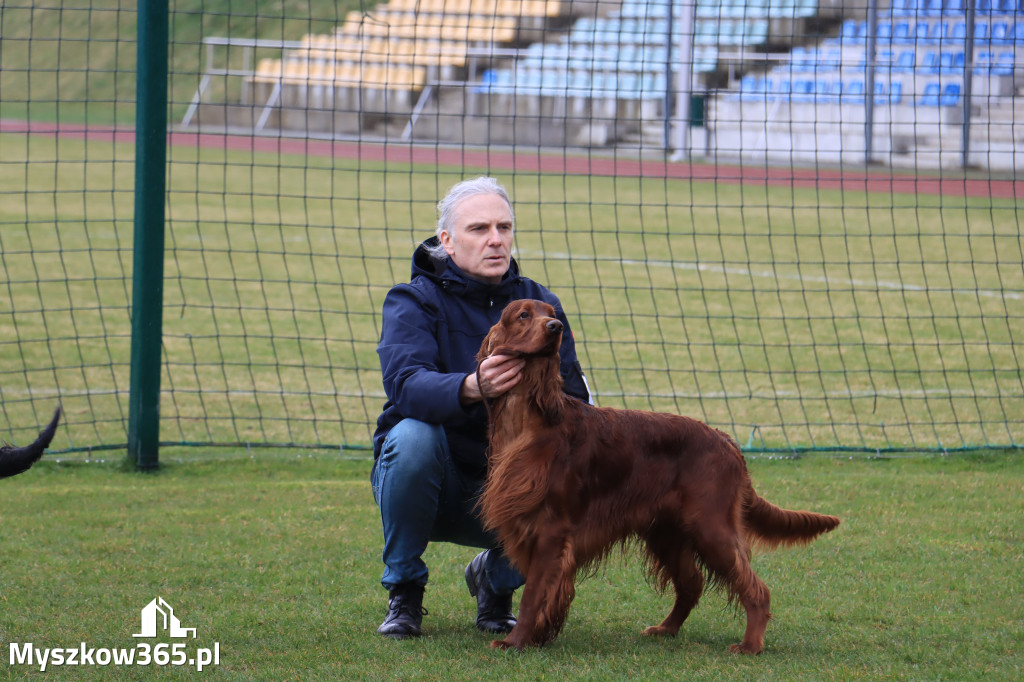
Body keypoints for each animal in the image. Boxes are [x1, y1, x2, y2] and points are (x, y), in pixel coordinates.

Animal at [475, 301, 835, 651]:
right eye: (524, 314)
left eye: (551, 314)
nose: (556, 327)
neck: (529, 420)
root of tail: (725, 440)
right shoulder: (529, 527)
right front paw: (535, 638)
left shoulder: (552, 530)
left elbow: (533, 595)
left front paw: (515, 642)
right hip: (668, 532)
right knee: (692, 584)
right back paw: (667, 628)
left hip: (710, 526)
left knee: (756, 589)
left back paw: (750, 645)